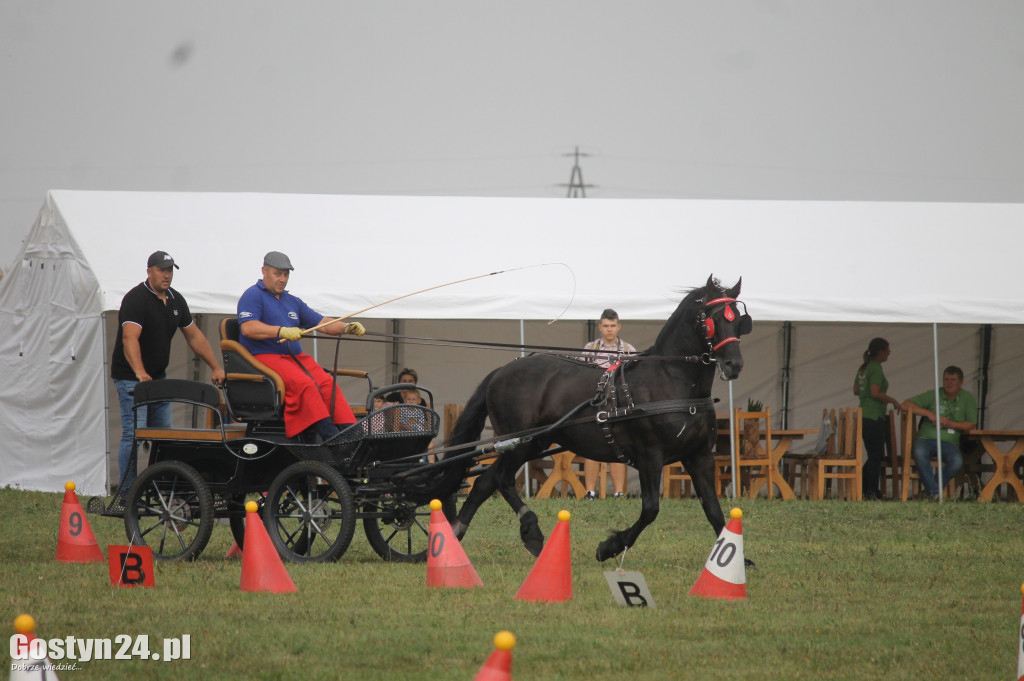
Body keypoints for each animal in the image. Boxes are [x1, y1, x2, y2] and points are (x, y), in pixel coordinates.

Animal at [442, 274, 753, 561]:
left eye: (739, 320)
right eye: (712, 319)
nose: (734, 364)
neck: (671, 381)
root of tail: (502, 370)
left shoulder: (699, 456)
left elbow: (713, 509)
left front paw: (736, 559)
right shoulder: (649, 456)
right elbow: (651, 509)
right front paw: (610, 547)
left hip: (534, 442)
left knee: (488, 481)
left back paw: (462, 532)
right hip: (518, 441)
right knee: (500, 479)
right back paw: (528, 532)